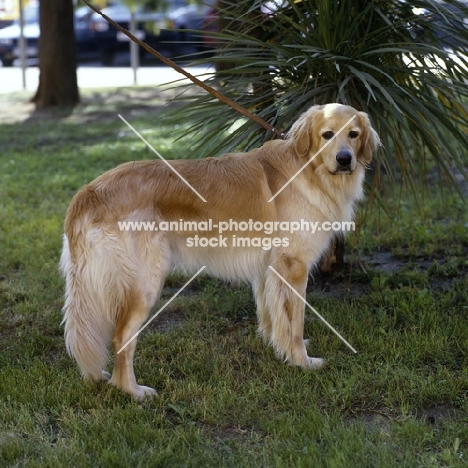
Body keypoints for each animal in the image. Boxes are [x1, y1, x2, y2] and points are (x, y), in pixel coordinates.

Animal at [60, 103, 378, 398]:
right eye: (327, 135)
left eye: (354, 134)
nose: (345, 159)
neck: (309, 169)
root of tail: (88, 193)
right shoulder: (293, 267)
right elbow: (295, 323)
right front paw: (302, 361)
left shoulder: (267, 269)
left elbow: (272, 316)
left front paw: (278, 348)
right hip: (146, 281)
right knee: (120, 338)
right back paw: (133, 391)